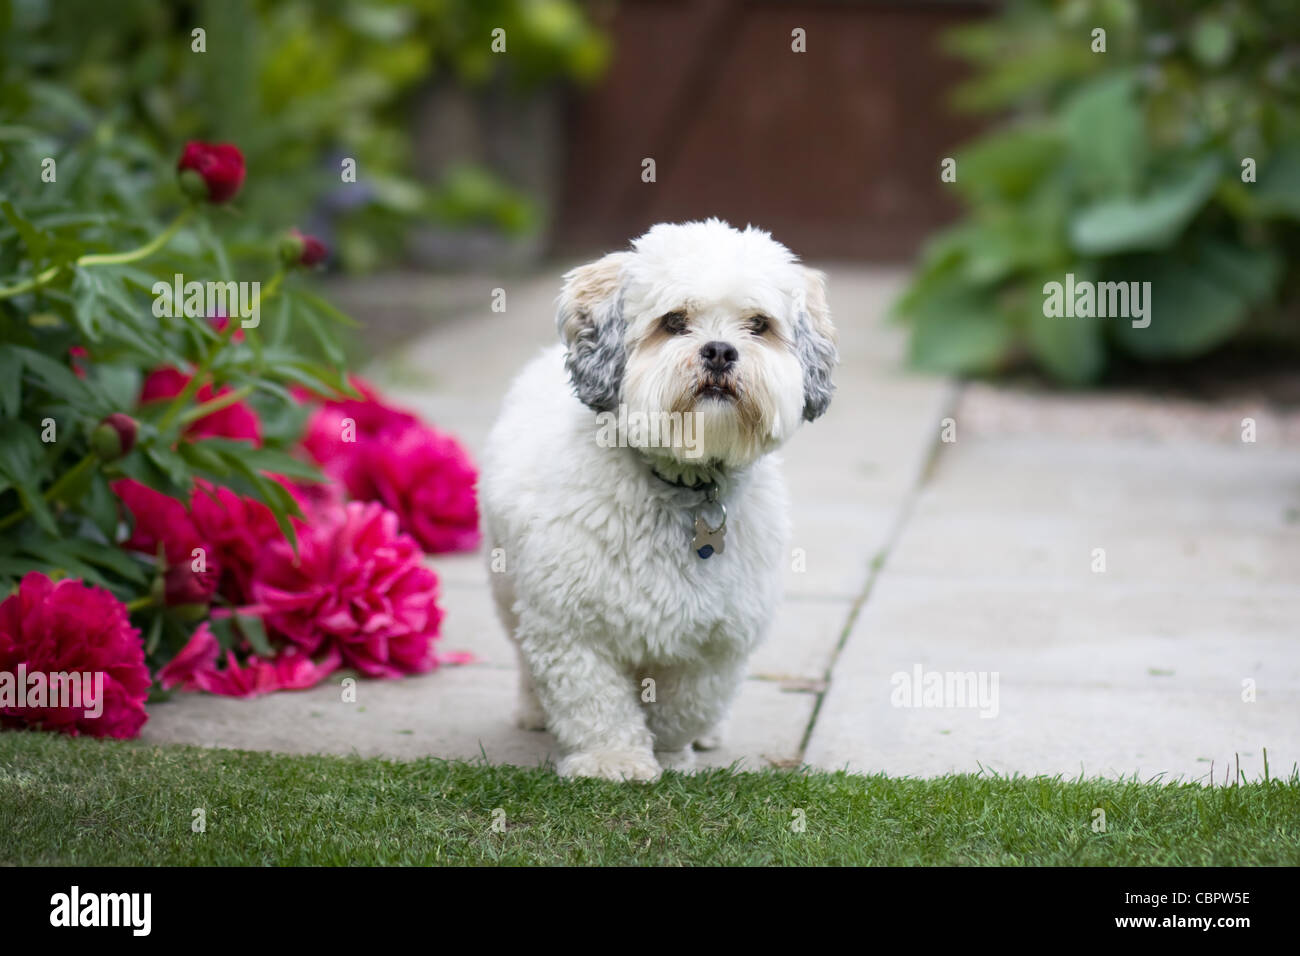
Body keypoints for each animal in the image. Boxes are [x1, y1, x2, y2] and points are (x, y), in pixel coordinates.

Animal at [483, 221, 837, 780]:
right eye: (674, 322)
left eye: (758, 325)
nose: (720, 351)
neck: (683, 484)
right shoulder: (568, 625)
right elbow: (595, 701)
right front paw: (613, 759)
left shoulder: (719, 639)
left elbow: (683, 705)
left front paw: (670, 751)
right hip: (504, 585)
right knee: (521, 654)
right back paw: (534, 710)